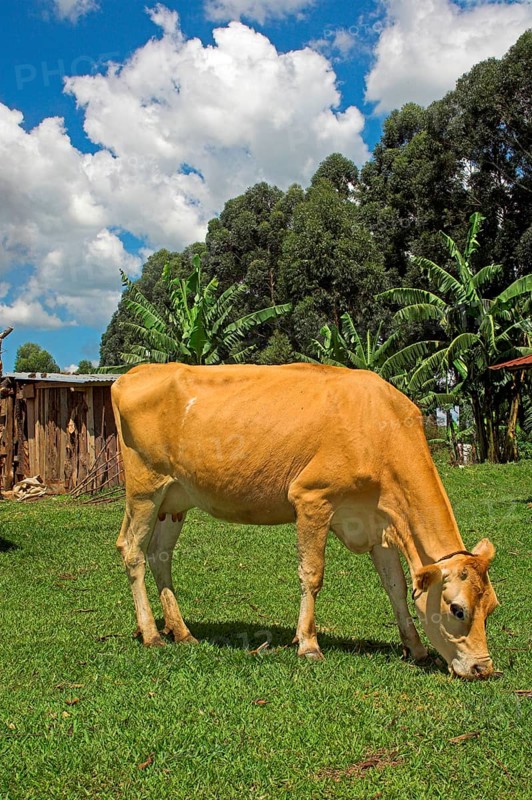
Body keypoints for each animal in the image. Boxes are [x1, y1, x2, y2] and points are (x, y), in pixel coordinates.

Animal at [112, 362, 499, 679]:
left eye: (492, 607)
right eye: (457, 610)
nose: (483, 668)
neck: (379, 427)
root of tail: (134, 373)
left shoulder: (379, 523)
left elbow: (396, 587)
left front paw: (415, 647)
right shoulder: (312, 498)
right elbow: (312, 575)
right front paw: (308, 644)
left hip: (175, 499)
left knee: (160, 554)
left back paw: (181, 631)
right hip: (145, 488)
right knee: (132, 549)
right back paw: (151, 633)